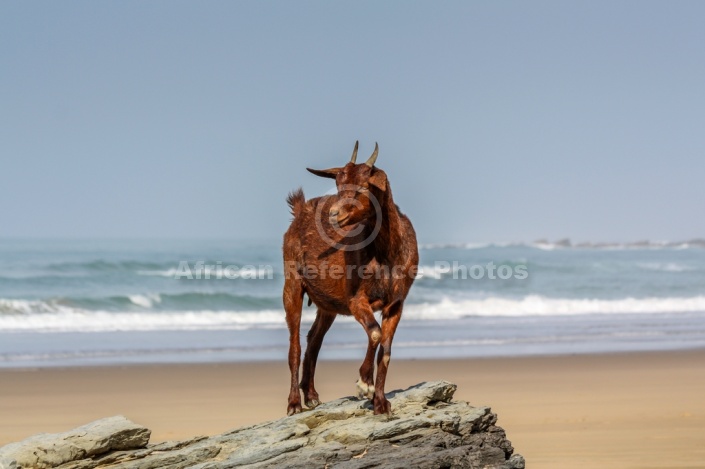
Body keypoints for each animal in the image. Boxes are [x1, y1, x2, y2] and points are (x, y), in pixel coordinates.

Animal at [280, 141, 418, 414]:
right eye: (338, 184)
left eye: (364, 186)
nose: (334, 215)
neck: (387, 253)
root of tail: (299, 211)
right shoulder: (356, 299)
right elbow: (375, 334)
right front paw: (364, 384)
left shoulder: (397, 303)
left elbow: (386, 350)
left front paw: (381, 403)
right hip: (292, 283)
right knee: (295, 346)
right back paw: (294, 403)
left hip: (327, 304)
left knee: (314, 339)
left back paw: (311, 394)